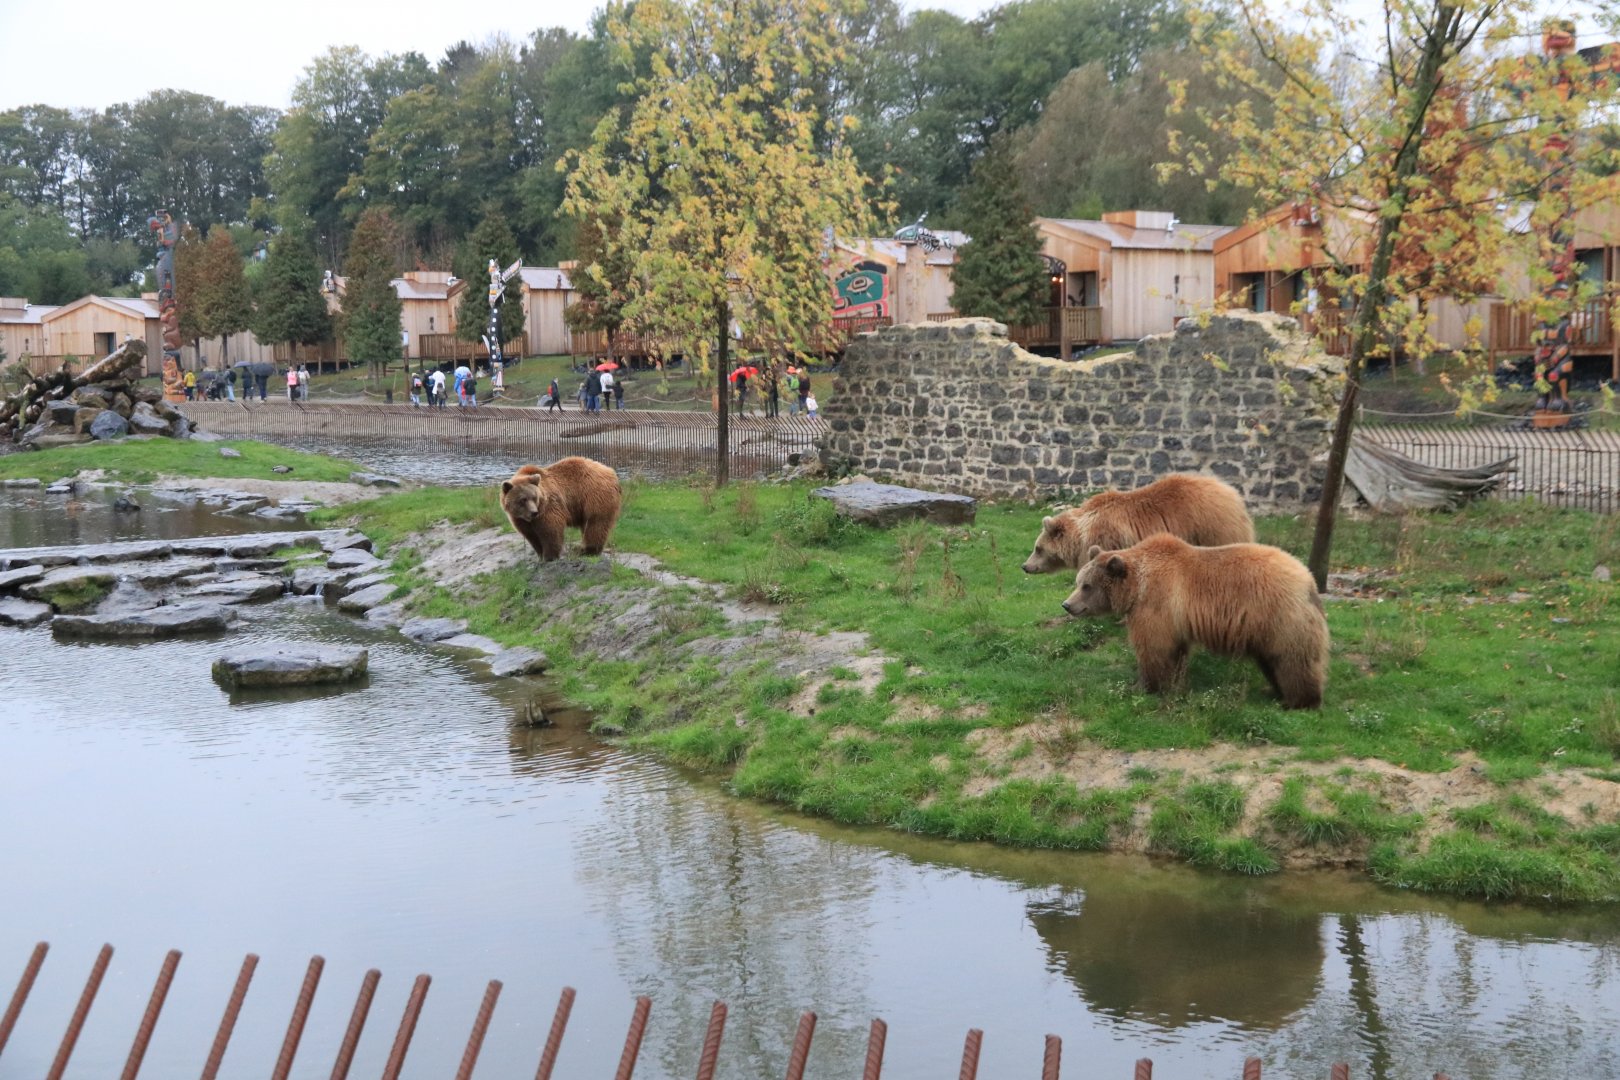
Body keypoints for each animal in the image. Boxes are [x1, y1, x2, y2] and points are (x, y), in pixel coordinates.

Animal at [1021, 474, 1254, 575]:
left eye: (1038, 548)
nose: (1025, 566)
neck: (1082, 535)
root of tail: (1231, 493)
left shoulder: (1109, 538)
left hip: (1211, 529)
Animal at [1063, 534, 1328, 709]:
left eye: (1086, 586)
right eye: (1078, 581)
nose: (1067, 604)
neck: (1136, 588)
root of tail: (1308, 579)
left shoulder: (1156, 604)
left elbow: (1153, 648)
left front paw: (1144, 686)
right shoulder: (1173, 619)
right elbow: (1176, 652)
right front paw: (1174, 683)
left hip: (1279, 616)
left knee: (1293, 660)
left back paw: (1299, 700)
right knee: (1273, 660)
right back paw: (1275, 690)